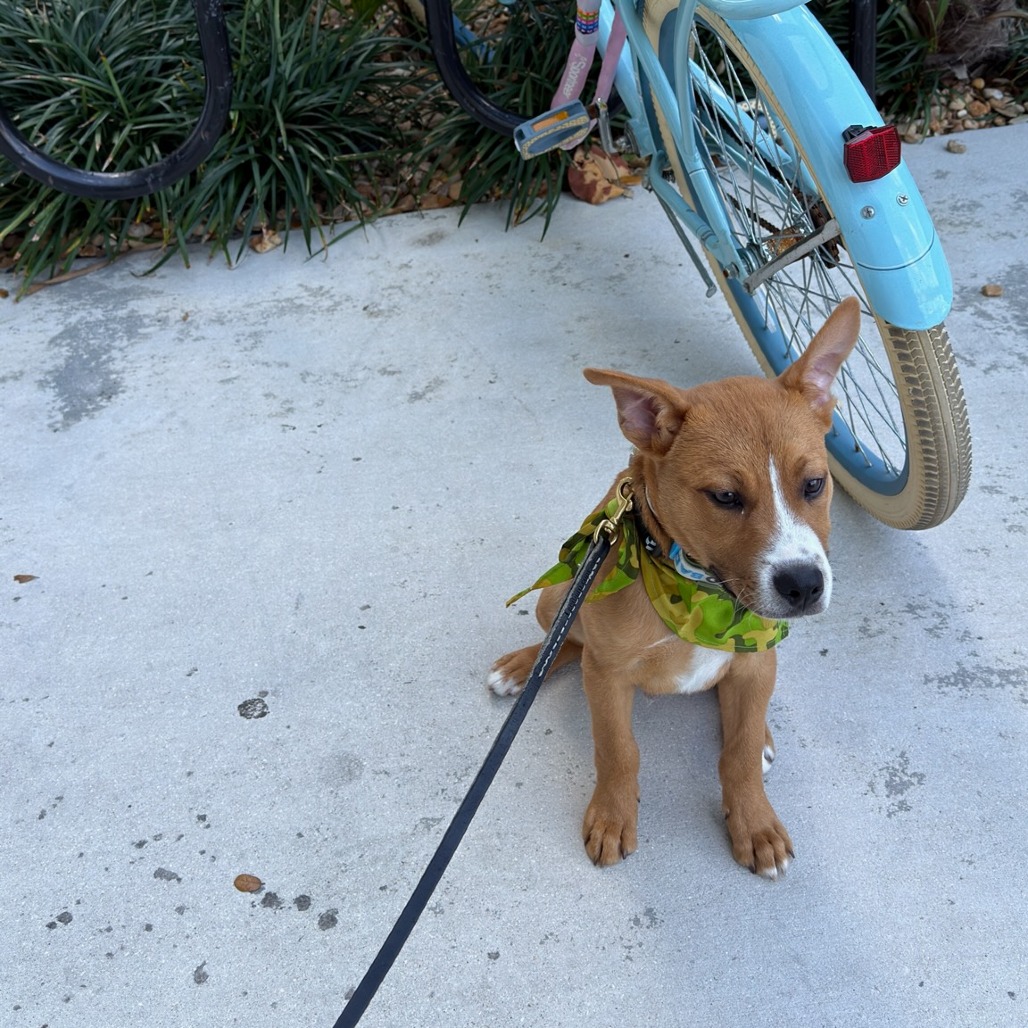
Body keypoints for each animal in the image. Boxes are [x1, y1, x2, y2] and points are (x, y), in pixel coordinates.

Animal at [487, 298, 860, 878]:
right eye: (725, 497)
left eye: (815, 484)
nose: (804, 585)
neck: (700, 597)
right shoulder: (608, 675)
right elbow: (618, 750)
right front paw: (613, 817)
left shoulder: (757, 653)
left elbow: (738, 752)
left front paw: (754, 822)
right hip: (560, 595)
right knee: (566, 641)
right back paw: (524, 666)